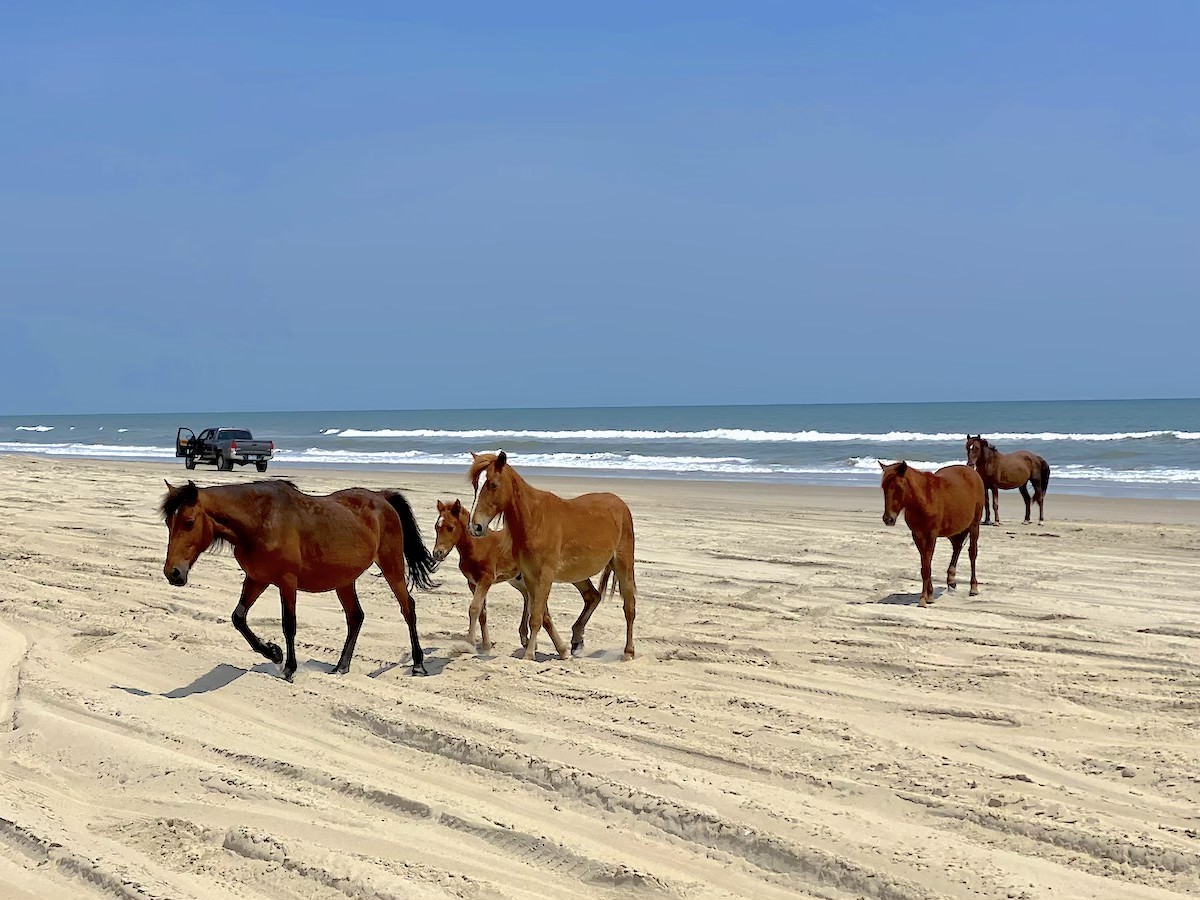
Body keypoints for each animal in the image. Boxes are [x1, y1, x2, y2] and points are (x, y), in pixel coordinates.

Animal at [160, 479, 437, 681]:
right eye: (168, 522)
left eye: (189, 521)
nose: (173, 573)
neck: (261, 520)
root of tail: (381, 497)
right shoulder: (256, 578)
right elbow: (239, 618)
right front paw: (273, 652)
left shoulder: (287, 581)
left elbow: (289, 624)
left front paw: (288, 668)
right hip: (344, 580)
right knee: (355, 617)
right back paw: (341, 667)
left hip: (391, 565)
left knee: (407, 608)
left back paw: (418, 665)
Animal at [432, 498, 606, 653]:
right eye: (436, 527)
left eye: (451, 527)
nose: (437, 553)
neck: (477, 546)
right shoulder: (473, 583)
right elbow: (482, 612)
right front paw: (487, 646)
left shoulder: (486, 579)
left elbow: (474, 608)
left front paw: (469, 645)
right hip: (520, 579)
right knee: (531, 598)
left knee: (591, 595)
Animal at [467, 451, 637, 661]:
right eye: (476, 484)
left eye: (493, 484)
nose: (475, 527)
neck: (533, 520)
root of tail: (620, 503)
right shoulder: (530, 577)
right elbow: (540, 615)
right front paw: (557, 650)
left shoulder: (545, 576)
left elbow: (536, 617)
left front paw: (529, 655)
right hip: (577, 574)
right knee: (592, 596)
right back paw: (577, 641)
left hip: (623, 564)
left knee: (629, 607)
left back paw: (628, 652)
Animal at [879, 461, 984, 607]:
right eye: (883, 487)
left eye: (897, 487)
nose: (888, 519)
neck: (923, 499)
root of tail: (972, 472)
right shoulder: (917, 535)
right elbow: (925, 564)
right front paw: (929, 595)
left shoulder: (931, 535)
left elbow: (926, 566)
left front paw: (923, 599)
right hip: (954, 529)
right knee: (957, 547)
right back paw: (951, 580)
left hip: (974, 525)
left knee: (972, 553)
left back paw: (973, 587)